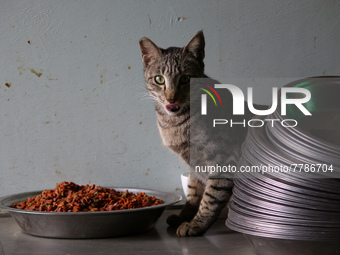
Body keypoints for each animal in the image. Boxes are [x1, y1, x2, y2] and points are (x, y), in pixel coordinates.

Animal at [138, 30, 260, 236]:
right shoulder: (195, 165)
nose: (171, 98)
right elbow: (194, 193)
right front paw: (183, 217)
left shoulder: (224, 161)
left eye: (185, 79)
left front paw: (196, 224)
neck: (175, 124)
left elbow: (211, 197)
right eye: (159, 79)